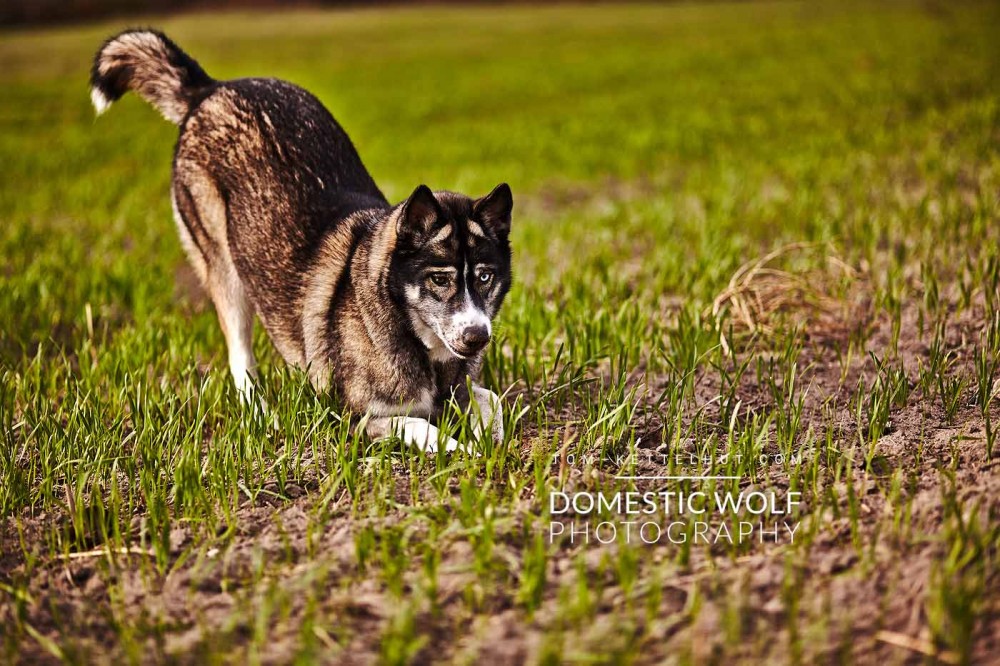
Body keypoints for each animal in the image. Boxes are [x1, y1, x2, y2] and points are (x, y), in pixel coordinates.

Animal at [90, 27, 512, 452]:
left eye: (485, 277)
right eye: (439, 279)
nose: (477, 337)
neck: (407, 325)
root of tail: (211, 89)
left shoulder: (462, 385)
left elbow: (492, 400)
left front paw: (489, 438)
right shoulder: (355, 419)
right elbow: (422, 427)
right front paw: (464, 452)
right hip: (224, 266)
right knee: (240, 358)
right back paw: (260, 414)